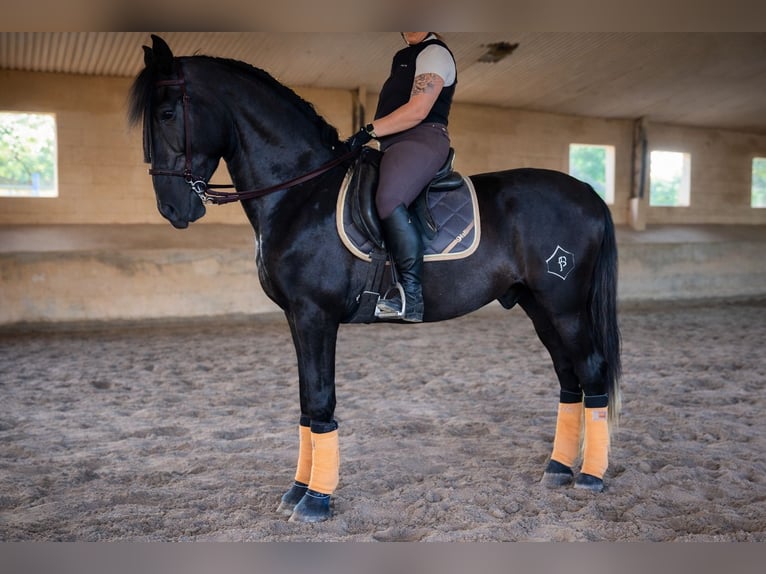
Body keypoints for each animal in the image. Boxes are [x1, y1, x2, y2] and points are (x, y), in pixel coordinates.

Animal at [128, 35, 621, 523]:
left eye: (167, 114)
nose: (172, 209)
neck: (299, 191)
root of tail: (589, 193)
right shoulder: (296, 317)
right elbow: (306, 404)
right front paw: (296, 491)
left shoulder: (315, 315)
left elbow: (320, 400)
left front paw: (315, 501)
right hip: (538, 305)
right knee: (569, 377)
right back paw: (557, 469)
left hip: (565, 306)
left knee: (592, 372)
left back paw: (590, 477)